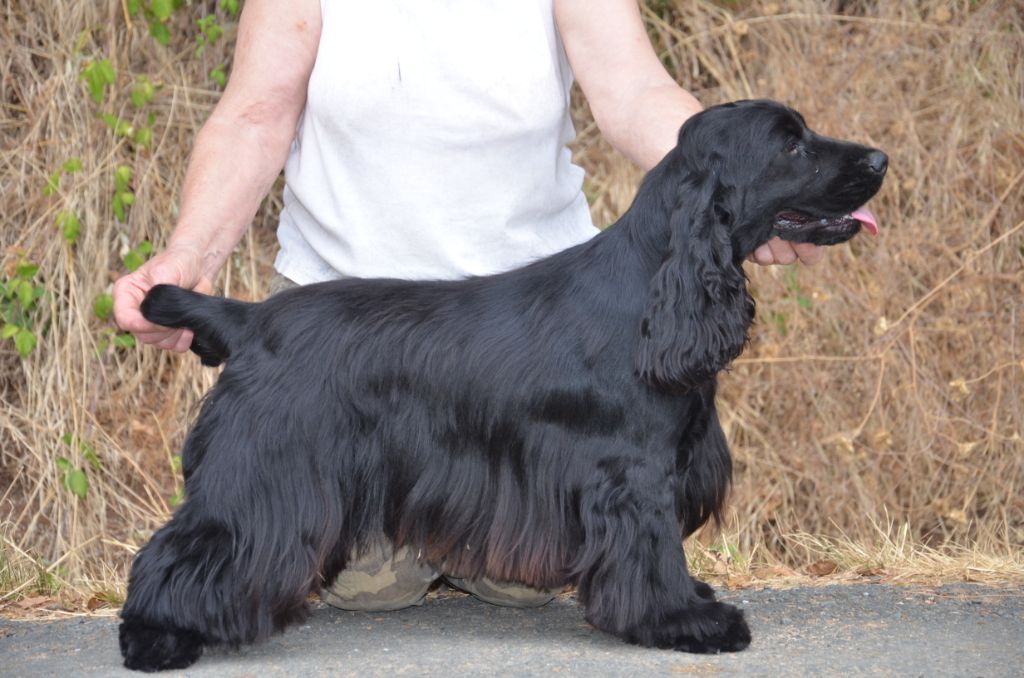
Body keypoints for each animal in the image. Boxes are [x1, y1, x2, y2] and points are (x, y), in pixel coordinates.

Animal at [119, 100, 887, 671]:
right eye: (792, 146)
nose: (880, 159)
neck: (656, 285)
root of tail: (249, 318)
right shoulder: (634, 474)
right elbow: (653, 552)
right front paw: (685, 620)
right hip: (266, 471)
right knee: (184, 547)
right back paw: (153, 638)